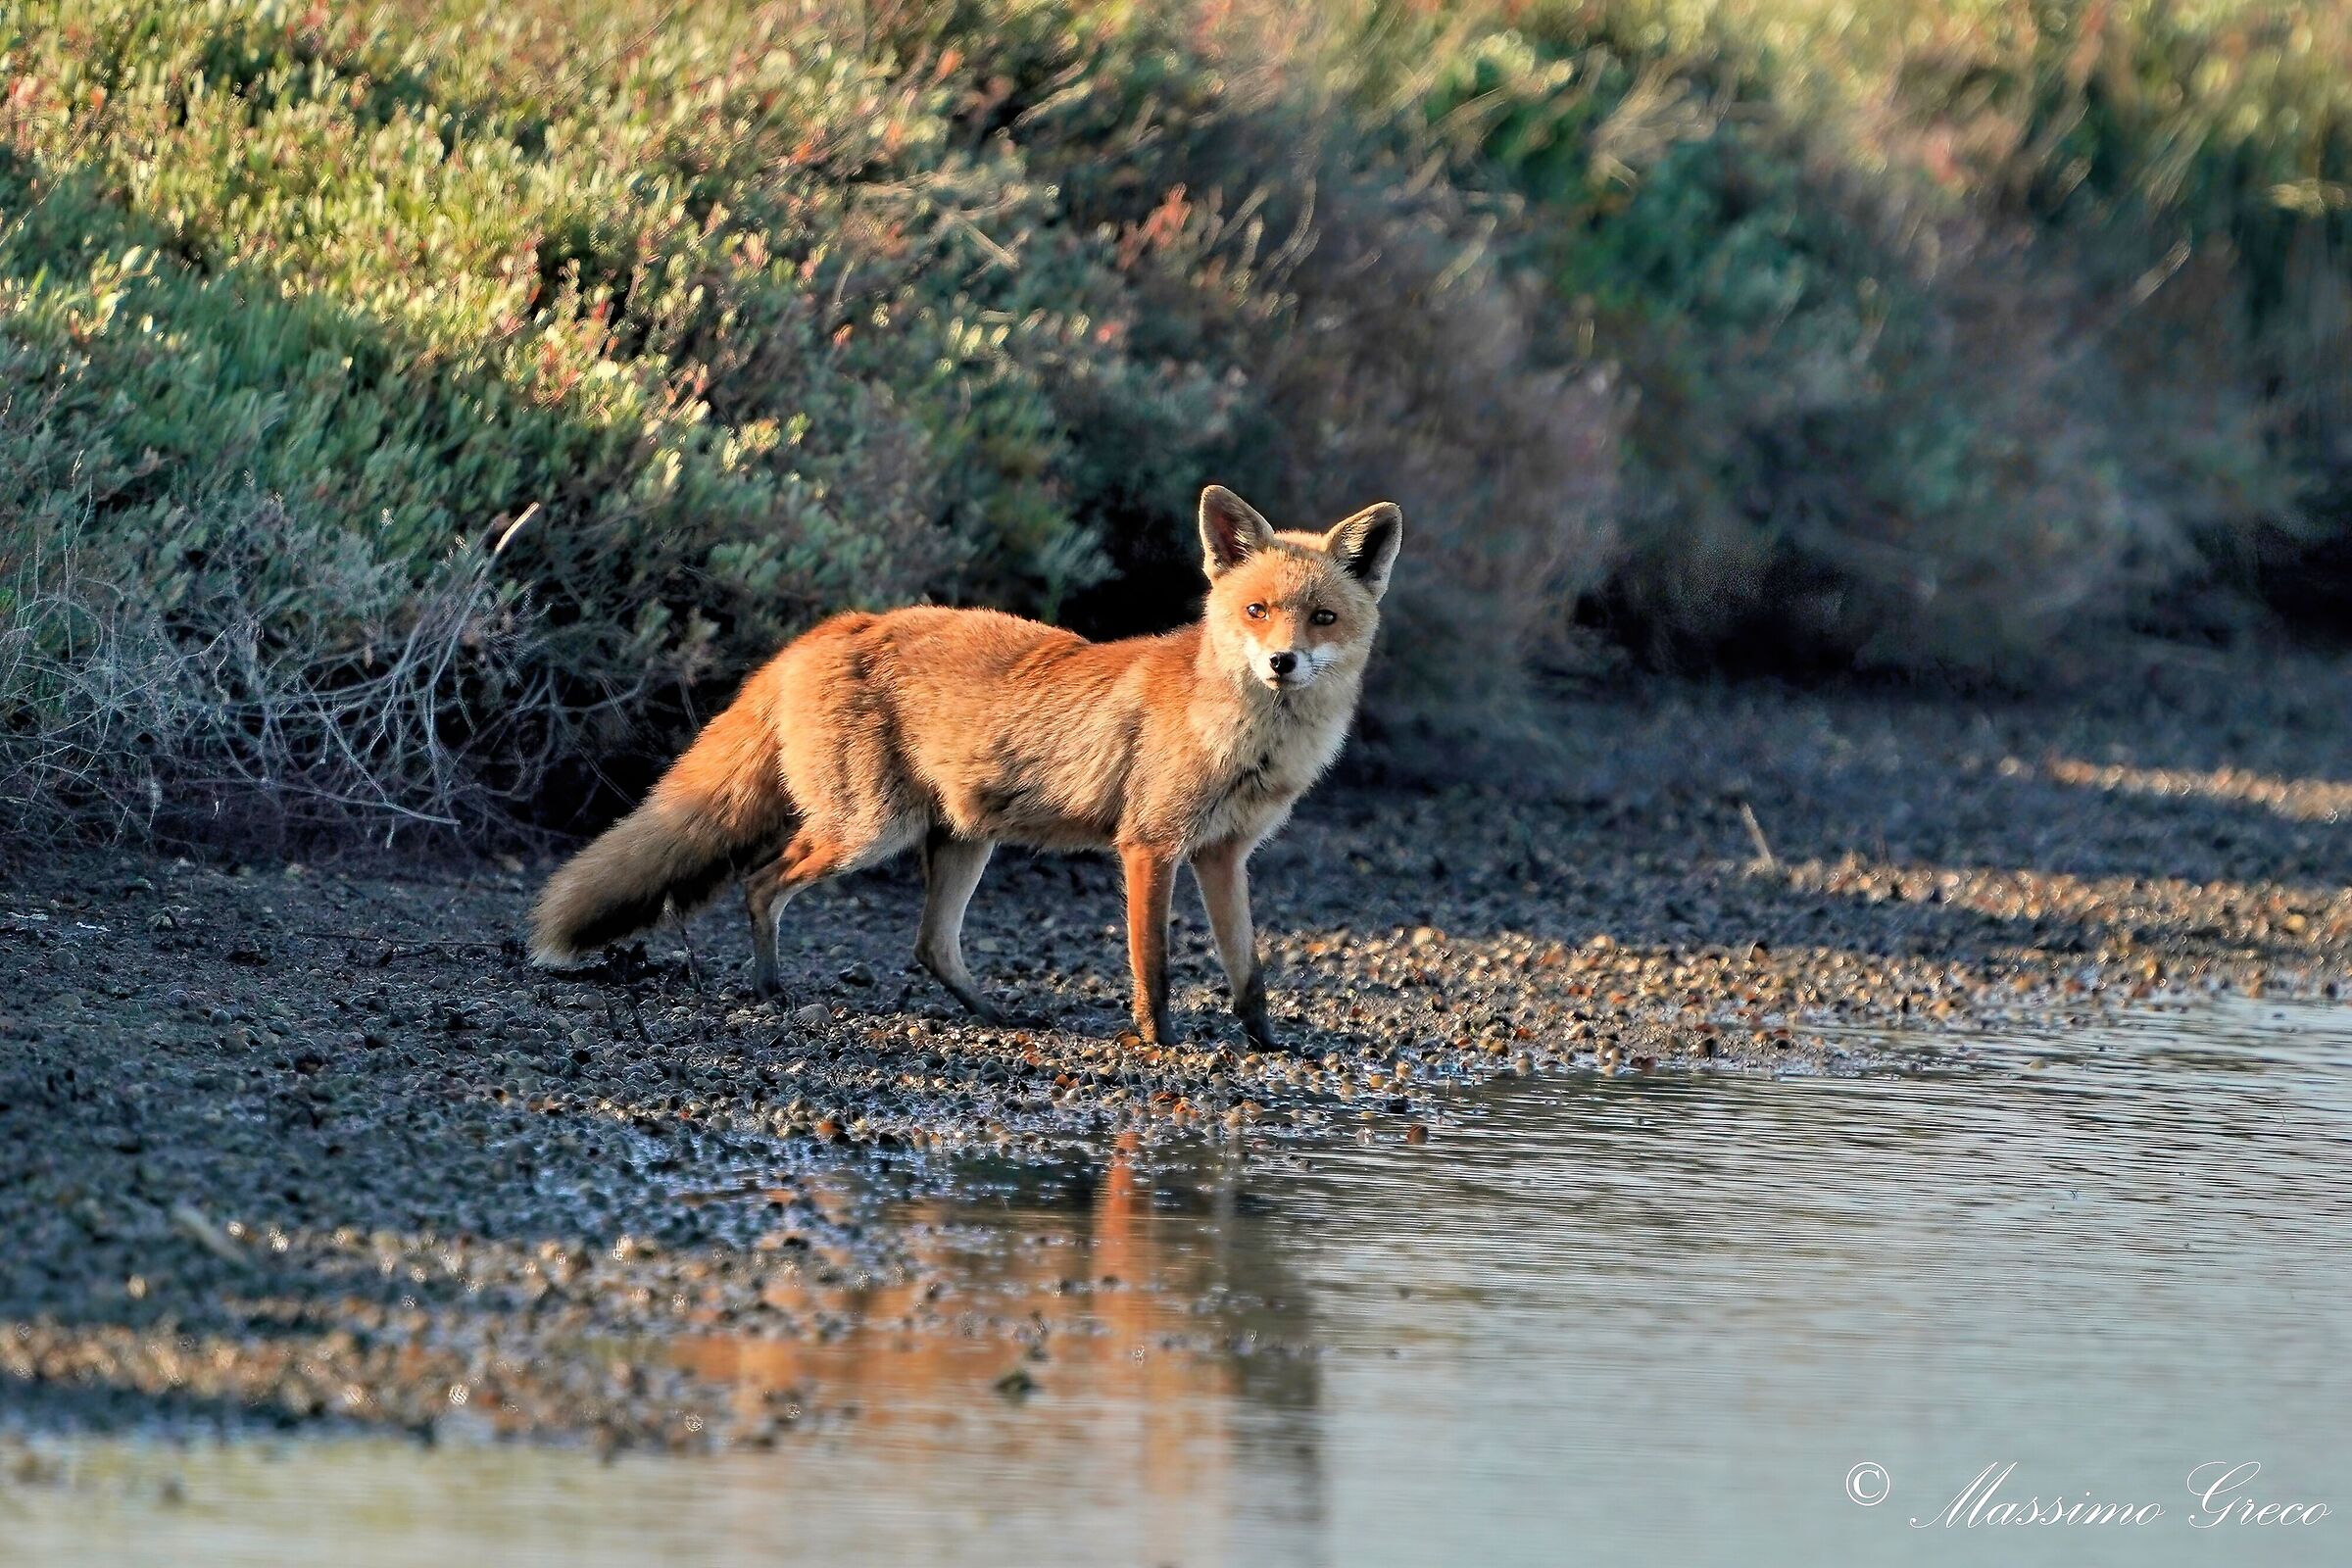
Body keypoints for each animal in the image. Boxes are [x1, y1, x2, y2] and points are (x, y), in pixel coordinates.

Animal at [528, 484, 1403, 1049]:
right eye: (1256, 611)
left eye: (1323, 617)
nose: (1283, 663)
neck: (1248, 743)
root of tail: (836, 625)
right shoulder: (1150, 846)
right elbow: (1152, 967)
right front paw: (1159, 1043)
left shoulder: (1224, 854)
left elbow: (1247, 971)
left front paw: (1268, 1046)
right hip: (867, 831)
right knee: (761, 881)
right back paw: (770, 989)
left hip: (961, 839)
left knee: (930, 946)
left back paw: (996, 1016)